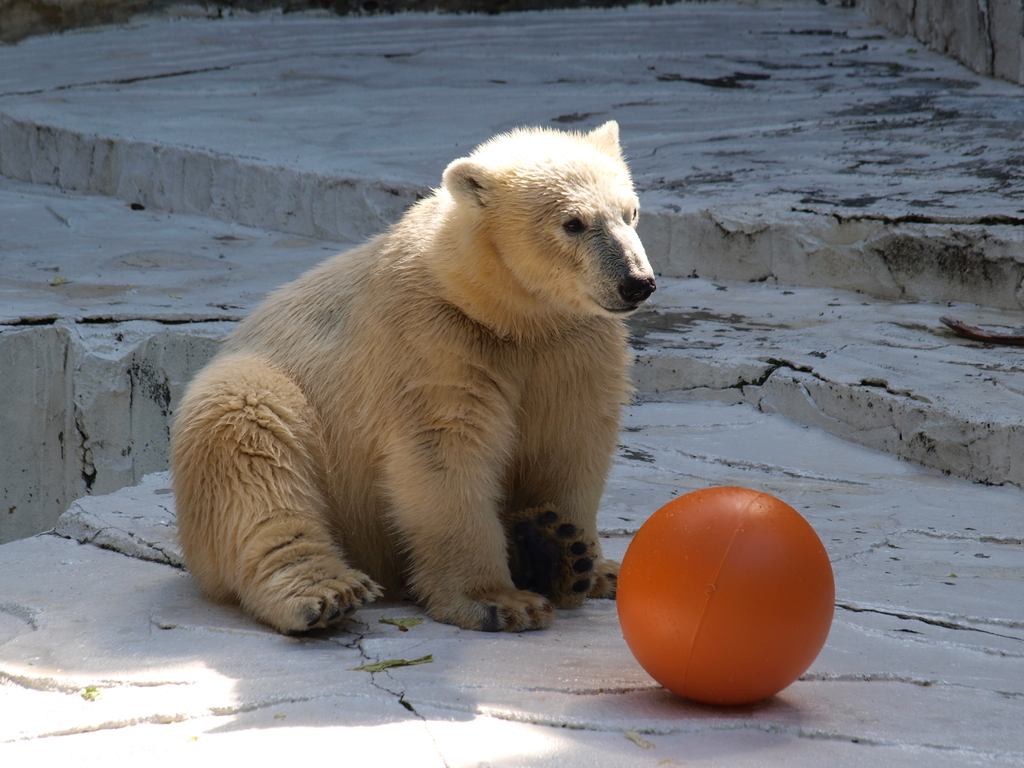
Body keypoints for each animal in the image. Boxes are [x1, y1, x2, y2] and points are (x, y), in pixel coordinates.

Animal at [172, 123, 655, 634]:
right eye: (573, 223)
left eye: (631, 211)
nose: (637, 282)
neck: (501, 314)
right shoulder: (433, 341)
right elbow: (444, 452)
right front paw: (499, 600)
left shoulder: (572, 348)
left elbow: (571, 444)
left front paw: (575, 553)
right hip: (260, 392)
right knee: (252, 457)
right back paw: (328, 591)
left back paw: (554, 551)